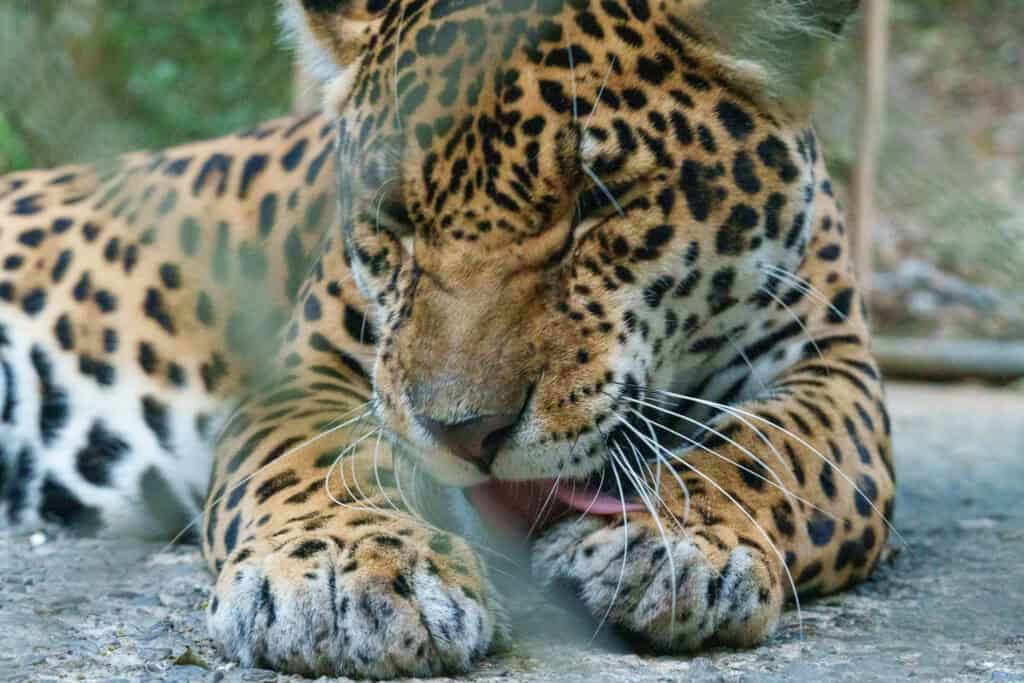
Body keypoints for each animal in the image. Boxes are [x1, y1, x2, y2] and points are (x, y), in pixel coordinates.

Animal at [0, 0, 895, 678]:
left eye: (594, 203)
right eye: (394, 218)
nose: (467, 433)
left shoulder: (834, 368)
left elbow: (771, 453)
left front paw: (668, 542)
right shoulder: (304, 372)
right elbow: (316, 460)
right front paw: (343, 577)